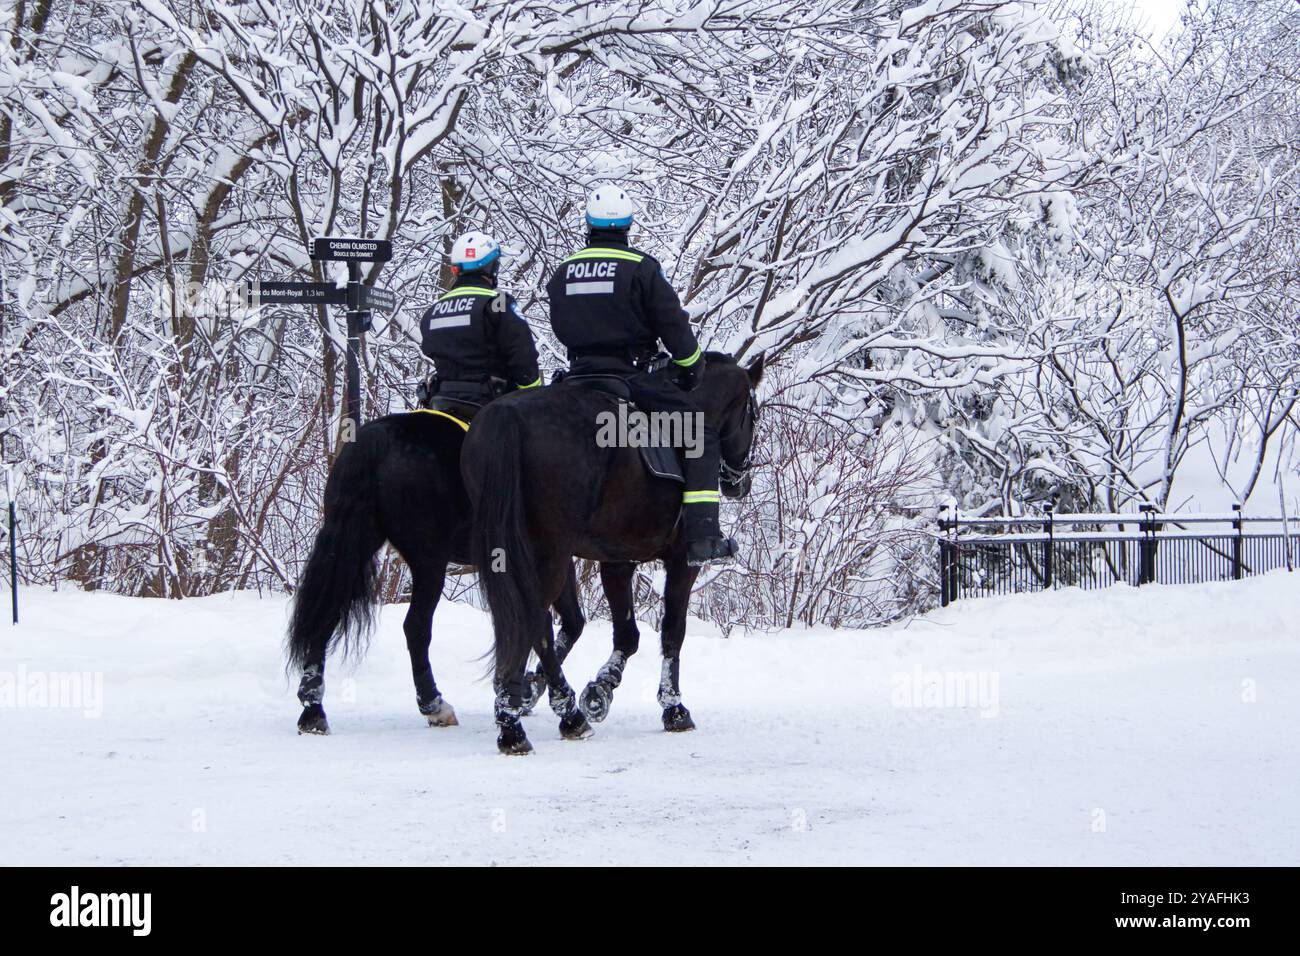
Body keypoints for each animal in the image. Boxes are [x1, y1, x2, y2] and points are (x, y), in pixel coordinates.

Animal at [289, 408, 590, 733]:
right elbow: (556, 624)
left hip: (356, 544)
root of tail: (376, 440)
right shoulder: (552, 555)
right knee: (416, 627)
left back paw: (313, 710)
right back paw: (434, 705)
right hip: (429, 561)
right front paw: (529, 692)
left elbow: (571, 622)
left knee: (325, 615)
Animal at [462, 353, 759, 754]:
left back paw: (528, 709)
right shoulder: (681, 562)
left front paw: (592, 690)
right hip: (550, 551)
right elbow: (671, 632)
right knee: (533, 620)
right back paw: (546, 720)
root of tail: (507, 416)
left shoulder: (617, 561)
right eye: (752, 414)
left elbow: (625, 633)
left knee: (532, 622)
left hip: (527, 551)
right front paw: (672, 708)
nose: (739, 483)